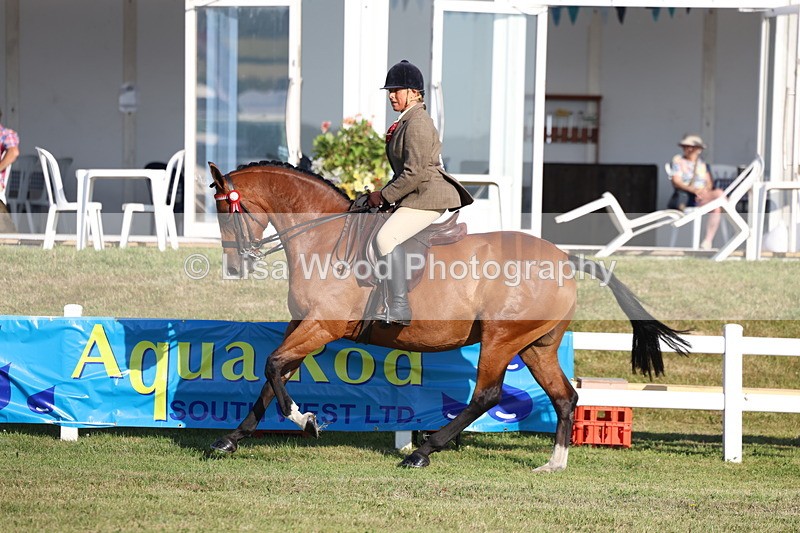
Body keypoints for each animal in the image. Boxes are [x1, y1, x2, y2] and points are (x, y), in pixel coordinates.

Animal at [208, 160, 690, 471]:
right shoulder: (304, 324)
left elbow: (274, 367)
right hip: (536, 346)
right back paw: (554, 464)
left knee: (487, 395)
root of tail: (565, 259)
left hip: (500, 339)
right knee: (564, 397)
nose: (235, 266)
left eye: (227, 212)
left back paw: (423, 451)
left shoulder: (323, 326)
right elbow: (273, 376)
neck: (323, 237)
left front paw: (305, 422)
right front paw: (229, 440)